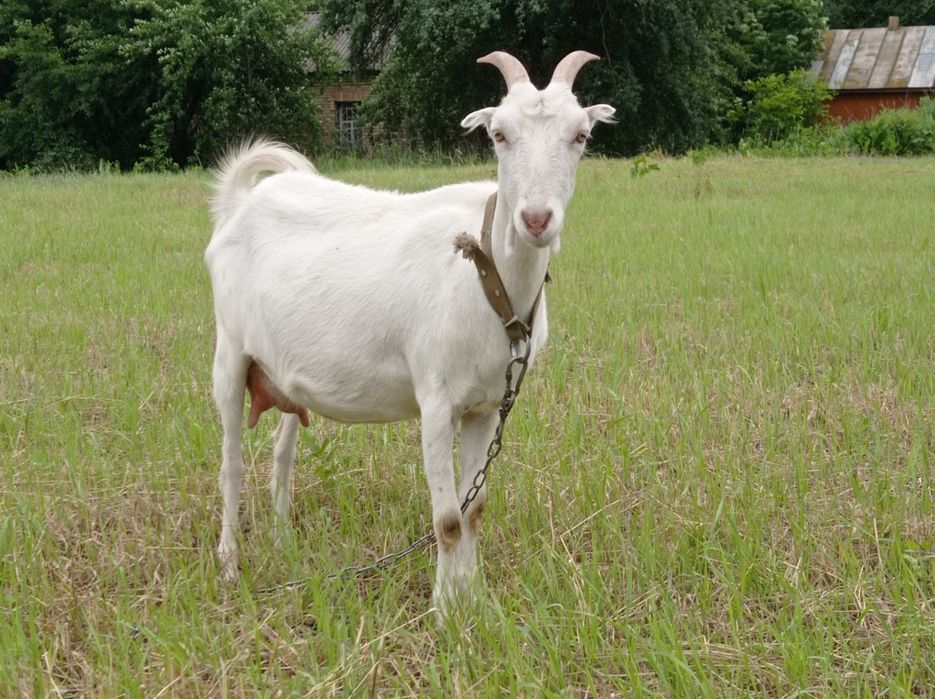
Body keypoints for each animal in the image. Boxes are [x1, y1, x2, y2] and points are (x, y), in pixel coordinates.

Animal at [205, 51, 614, 610]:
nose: (535, 219)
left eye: (580, 135)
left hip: (286, 371)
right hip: (230, 349)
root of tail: (240, 203)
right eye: (499, 135)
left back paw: (283, 542)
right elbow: (447, 520)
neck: (485, 274)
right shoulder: (437, 402)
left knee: (281, 452)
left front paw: (475, 601)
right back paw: (229, 564)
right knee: (231, 462)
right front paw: (444, 611)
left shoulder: (487, 405)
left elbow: (473, 511)